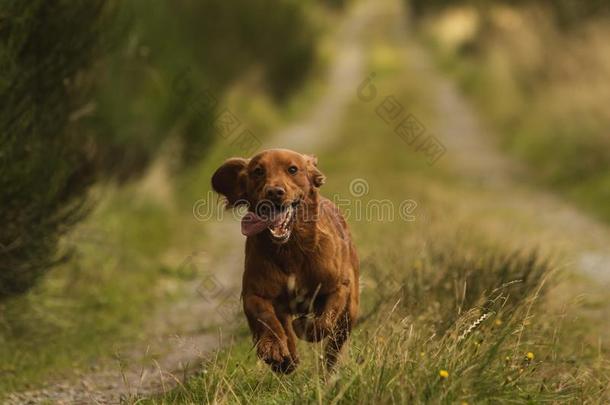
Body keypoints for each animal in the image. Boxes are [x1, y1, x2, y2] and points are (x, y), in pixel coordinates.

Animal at [211, 148, 358, 372]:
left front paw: (305, 327)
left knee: (335, 341)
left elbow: (326, 319)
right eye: (258, 171)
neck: (291, 249)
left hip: (351, 310)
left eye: (293, 169)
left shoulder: (338, 286)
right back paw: (289, 357)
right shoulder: (254, 294)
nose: (274, 192)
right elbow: (266, 319)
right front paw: (274, 350)